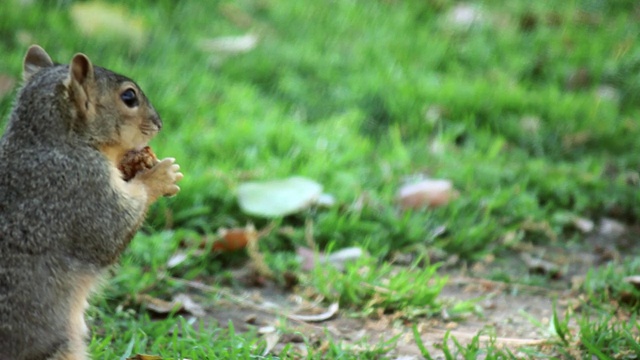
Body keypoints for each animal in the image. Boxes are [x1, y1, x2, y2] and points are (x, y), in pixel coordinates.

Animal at [0, 45, 182, 360]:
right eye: (129, 97)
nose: (159, 124)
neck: (51, 140)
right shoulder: (81, 188)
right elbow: (111, 231)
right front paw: (160, 176)